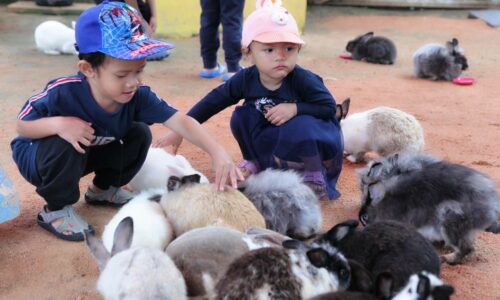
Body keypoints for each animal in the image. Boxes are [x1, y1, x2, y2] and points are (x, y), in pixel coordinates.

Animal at [358, 154, 498, 264]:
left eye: (364, 217)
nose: (365, 227)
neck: (382, 204)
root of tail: (491, 205)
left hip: (449, 217)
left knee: (466, 248)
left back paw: (448, 259)